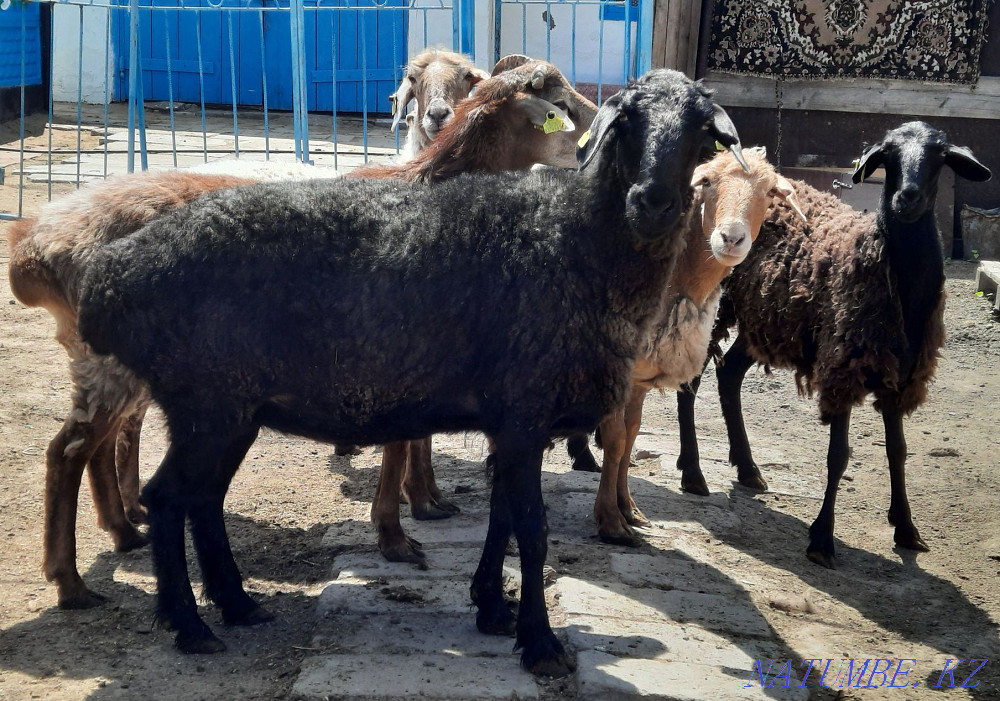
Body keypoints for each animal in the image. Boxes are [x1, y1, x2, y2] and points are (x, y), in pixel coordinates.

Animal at [6, 57, 595, 609]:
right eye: (562, 105)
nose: (592, 149)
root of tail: (34, 247)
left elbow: (411, 437)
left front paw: (422, 506)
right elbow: (400, 444)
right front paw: (396, 533)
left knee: (103, 442)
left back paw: (125, 528)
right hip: (112, 363)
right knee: (68, 450)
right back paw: (71, 580)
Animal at [73, 69, 747, 675]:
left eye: (698, 131)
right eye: (627, 122)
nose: (652, 203)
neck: (575, 241)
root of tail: (110, 278)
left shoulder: (509, 421)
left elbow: (502, 516)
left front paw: (491, 608)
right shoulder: (525, 413)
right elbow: (531, 529)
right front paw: (540, 643)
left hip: (227, 410)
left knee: (203, 500)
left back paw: (238, 606)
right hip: (206, 402)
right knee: (167, 499)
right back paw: (190, 626)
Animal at [566, 147, 806, 545]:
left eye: (769, 192)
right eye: (707, 182)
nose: (731, 238)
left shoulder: (640, 378)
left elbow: (631, 437)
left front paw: (628, 509)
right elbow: (616, 440)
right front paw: (610, 521)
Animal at [674, 121, 991, 568]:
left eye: (939, 156)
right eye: (889, 155)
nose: (907, 197)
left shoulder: (899, 375)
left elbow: (898, 450)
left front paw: (906, 528)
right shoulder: (843, 367)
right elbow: (838, 455)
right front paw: (822, 539)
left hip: (765, 321)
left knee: (729, 374)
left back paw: (748, 467)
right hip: (716, 306)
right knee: (691, 382)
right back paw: (693, 472)